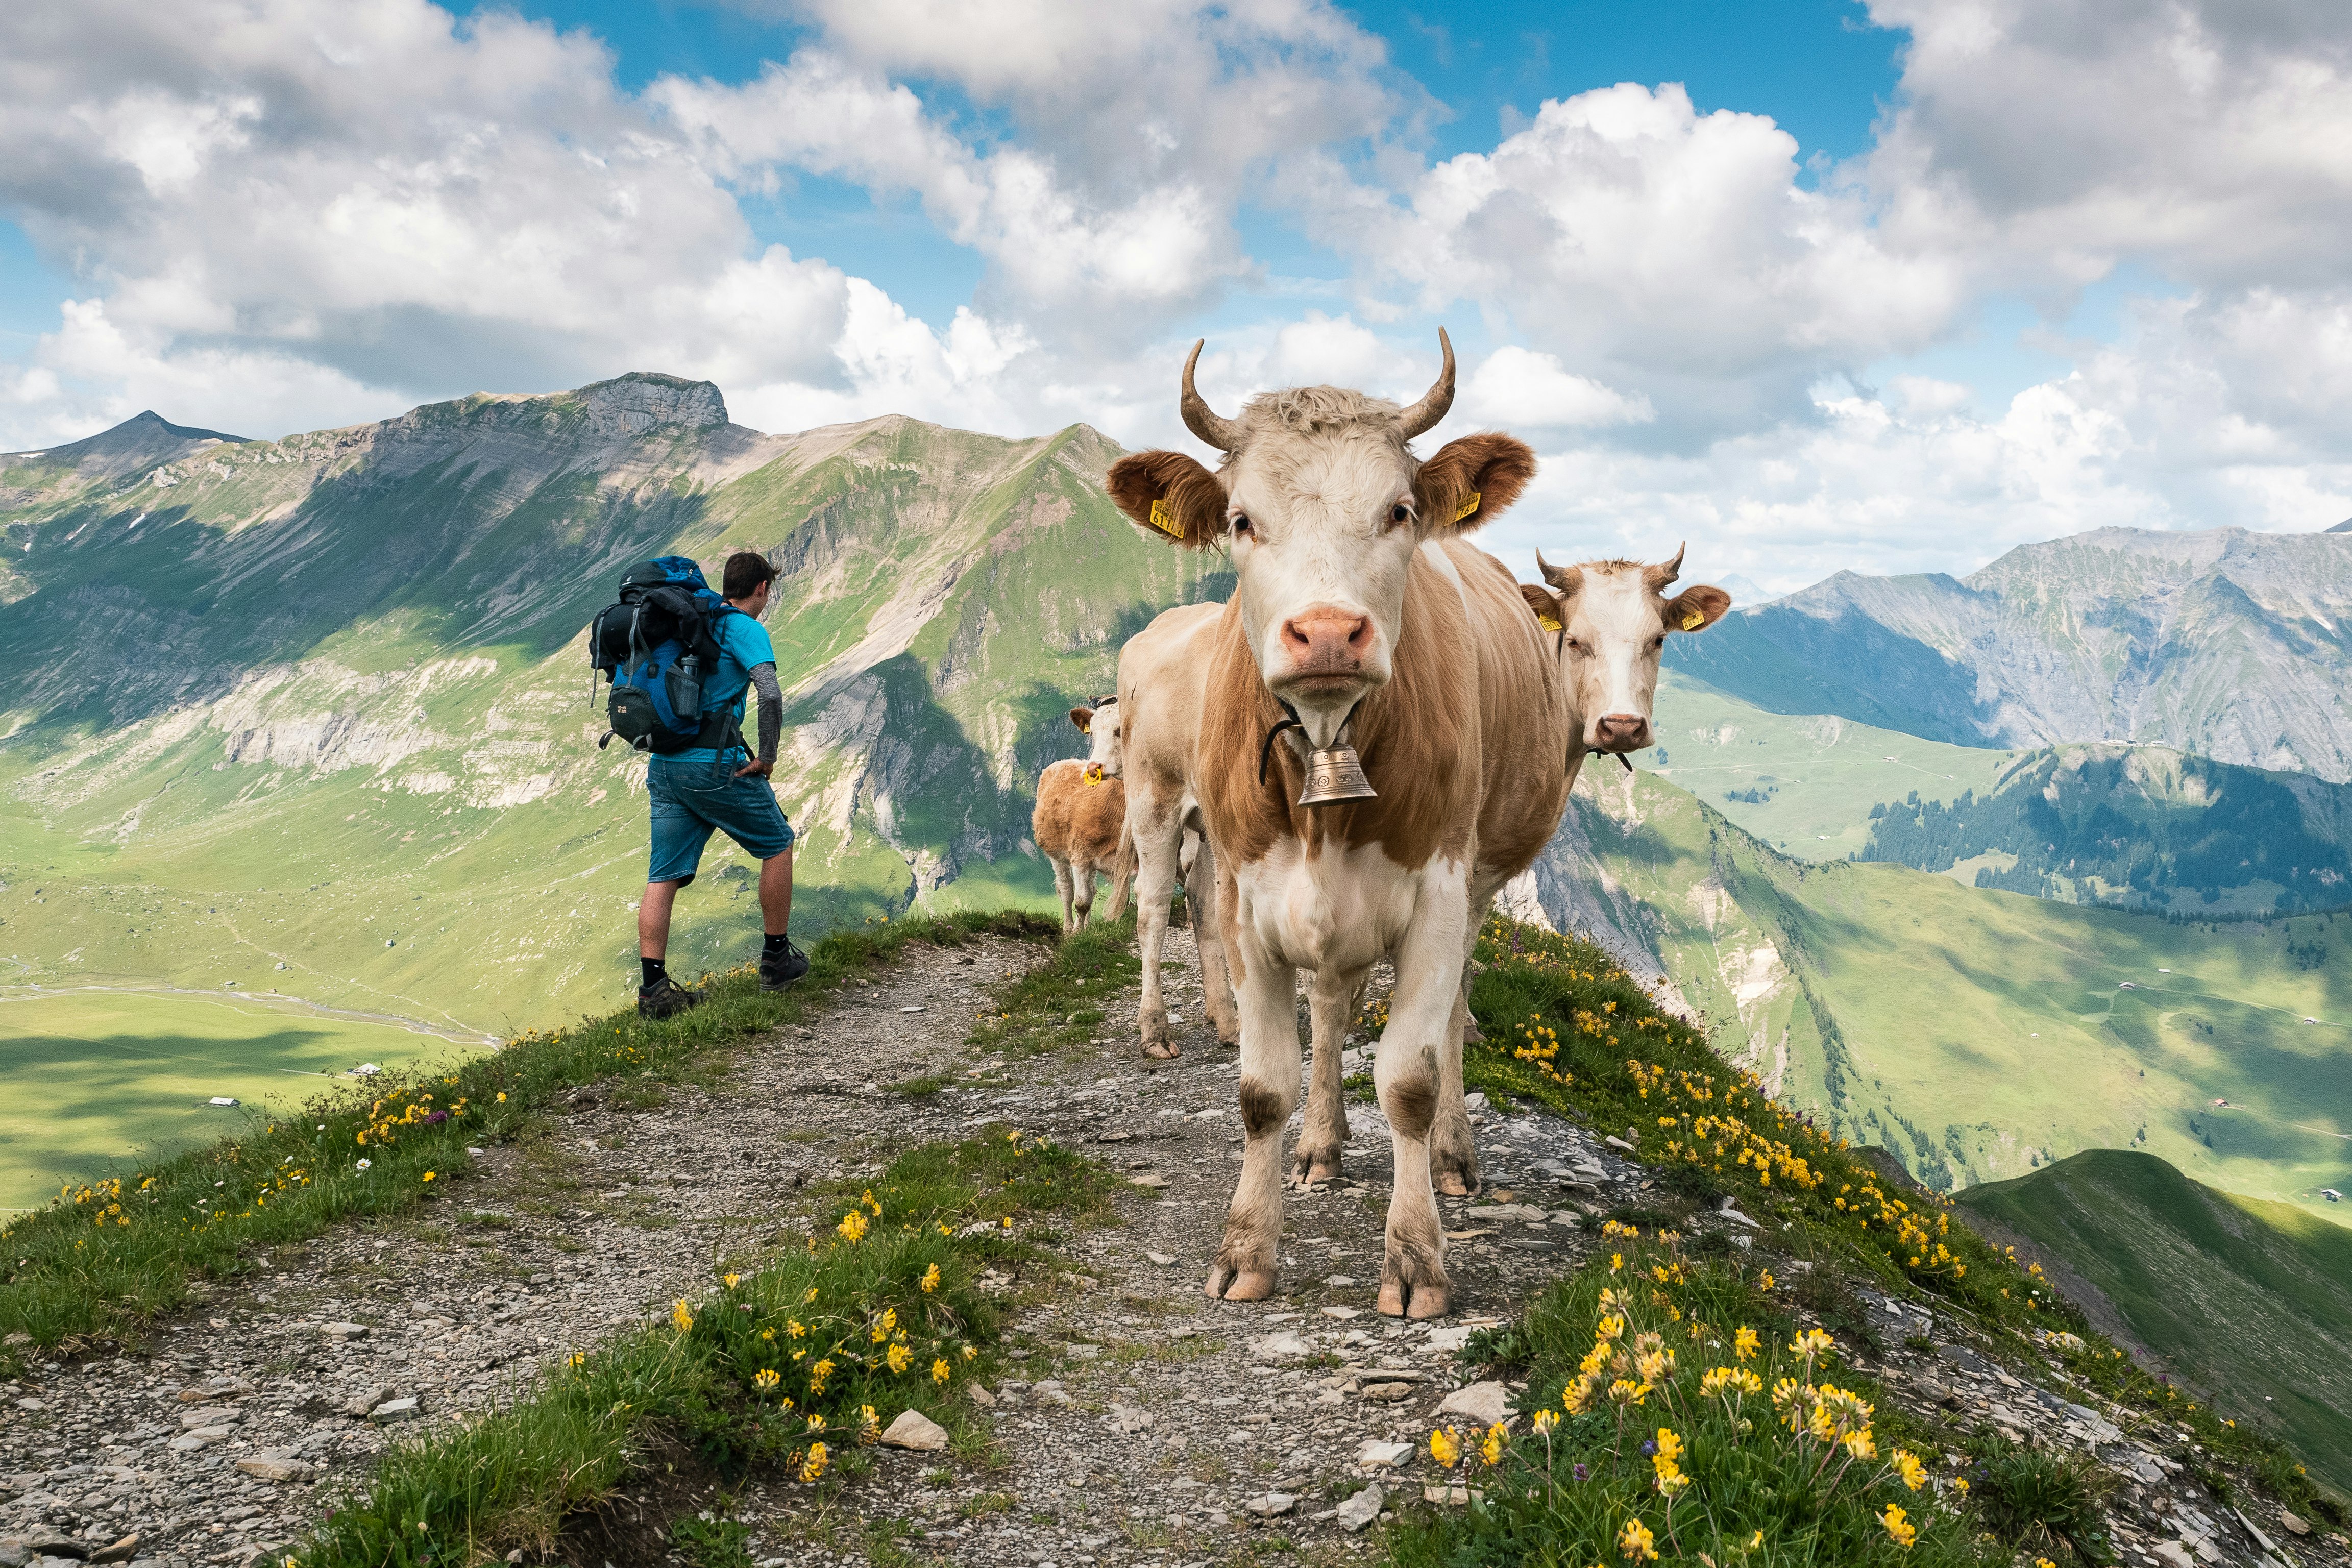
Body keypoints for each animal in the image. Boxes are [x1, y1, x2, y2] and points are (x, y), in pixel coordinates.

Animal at [1035, 700, 1134, 930]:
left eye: (1120, 730)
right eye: (1093, 734)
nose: (1093, 767)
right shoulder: (1080, 856)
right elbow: (1081, 902)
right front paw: (1078, 934)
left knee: (1091, 889)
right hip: (1057, 854)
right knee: (1067, 891)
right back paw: (1069, 928)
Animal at [1105, 334, 1580, 1326]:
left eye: (1398, 511)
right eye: (1241, 520)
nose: (1326, 632)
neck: (1327, 747)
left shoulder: (1438, 893)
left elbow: (1409, 1077)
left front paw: (1415, 1256)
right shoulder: (1253, 898)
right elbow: (1260, 1089)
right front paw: (1245, 1248)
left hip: (1476, 884)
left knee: (1438, 1018)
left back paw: (1443, 1156)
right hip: (1160, 803)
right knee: (1267, 973)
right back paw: (1291, 1120)